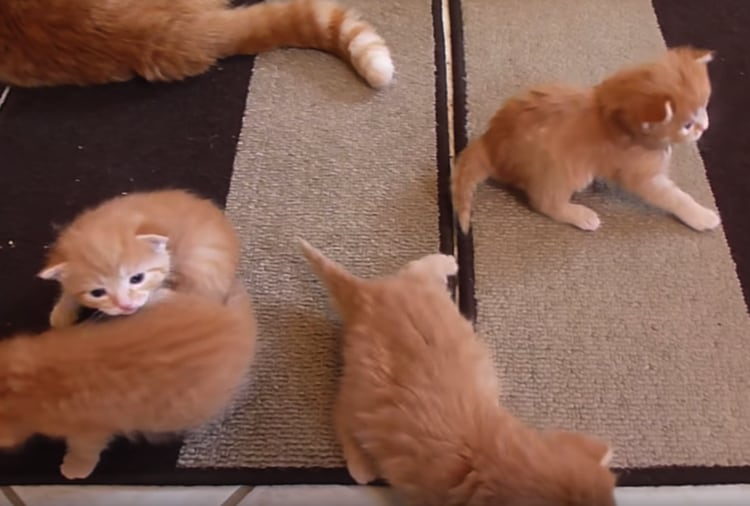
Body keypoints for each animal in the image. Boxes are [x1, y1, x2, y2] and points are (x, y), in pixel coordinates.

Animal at [298, 239, 617, 506]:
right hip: (363, 388)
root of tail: (368, 294)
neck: (491, 460)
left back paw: (447, 262)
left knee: (412, 269)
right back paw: (360, 465)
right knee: (340, 413)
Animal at [451, 46, 720, 233]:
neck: (609, 113)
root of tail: (491, 141)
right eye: (687, 125)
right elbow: (674, 197)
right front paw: (701, 216)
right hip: (562, 172)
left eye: (705, 106)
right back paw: (580, 215)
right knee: (544, 202)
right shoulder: (642, 176)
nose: (705, 127)